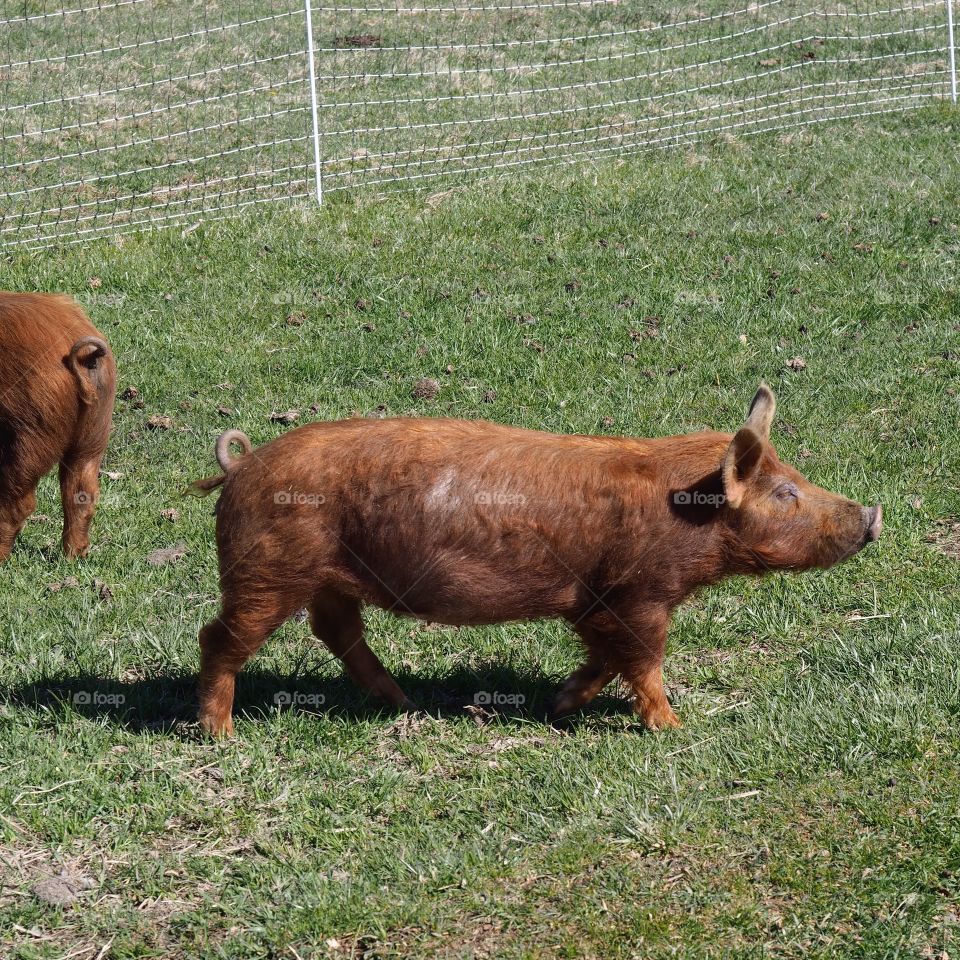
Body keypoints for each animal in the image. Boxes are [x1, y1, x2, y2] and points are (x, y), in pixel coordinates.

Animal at [189, 386, 884, 740]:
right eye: (786, 493)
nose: (873, 514)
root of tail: (241, 467)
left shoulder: (596, 601)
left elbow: (604, 658)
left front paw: (559, 705)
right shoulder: (639, 594)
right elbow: (644, 661)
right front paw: (674, 729)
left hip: (328, 577)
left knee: (335, 630)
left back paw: (402, 701)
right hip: (268, 569)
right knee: (218, 637)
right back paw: (219, 734)